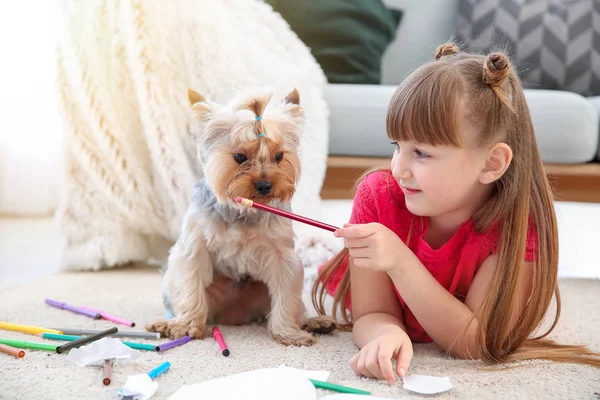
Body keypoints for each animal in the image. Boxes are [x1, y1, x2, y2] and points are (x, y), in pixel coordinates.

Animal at [144, 87, 336, 346]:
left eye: (278, 156)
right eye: (239, 157)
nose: (265, 185)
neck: (245, 210)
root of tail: (235, 317)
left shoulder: (284, 258)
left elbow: (286, 298)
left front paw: (288, 333)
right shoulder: (194, 249)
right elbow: (191, 288)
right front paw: (185, 327)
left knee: (293, 306)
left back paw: (314, 322)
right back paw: (167, 324)